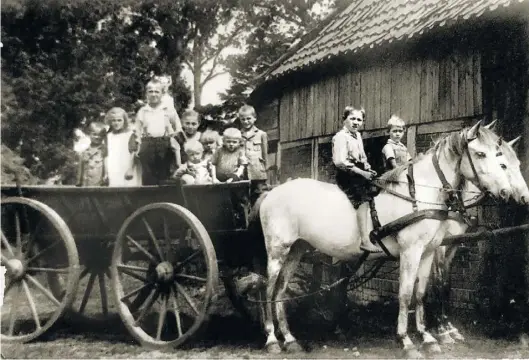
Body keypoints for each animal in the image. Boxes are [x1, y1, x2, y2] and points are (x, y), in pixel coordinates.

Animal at [252, 121, 516, 358]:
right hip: (277, 250)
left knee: (280, 289)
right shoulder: (411, 251)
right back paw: (272, 339)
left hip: (296, 249)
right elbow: (405, 294)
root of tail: (272, 192)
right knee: (268, 289)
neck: (418, 194)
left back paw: (289, 339)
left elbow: (420, 294)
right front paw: (406, 341)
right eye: (480, 153)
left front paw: (427, 338)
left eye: (499, 155)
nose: (506, 192)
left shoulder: (428, 252)